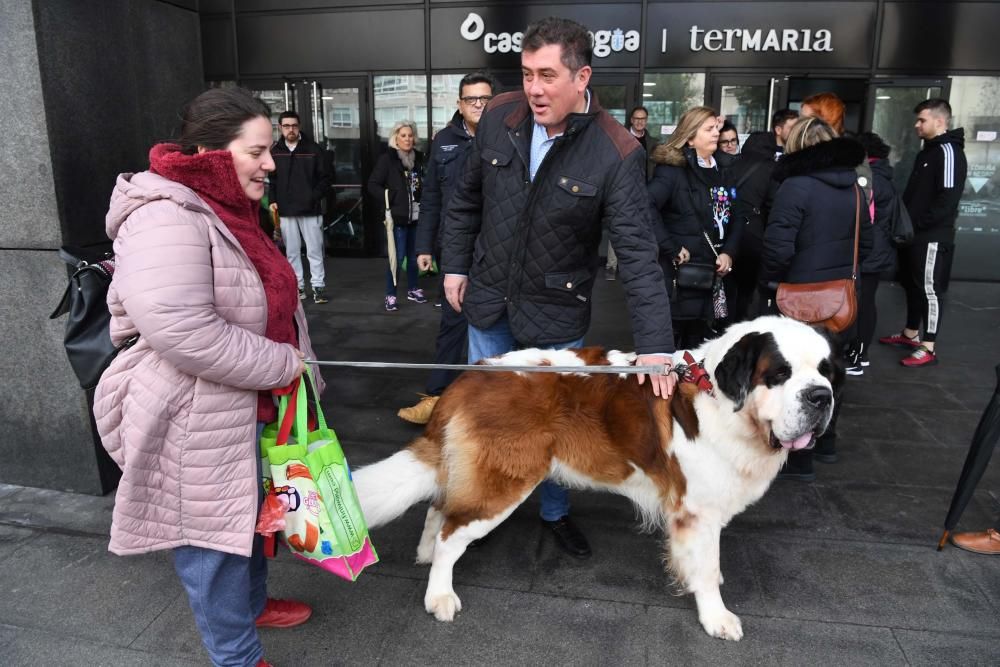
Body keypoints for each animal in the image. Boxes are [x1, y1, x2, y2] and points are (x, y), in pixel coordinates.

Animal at [352, 318, 836, 640]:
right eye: (779, 374)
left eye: (826, 371)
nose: (821, 397)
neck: (717, 396)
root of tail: (469, 378)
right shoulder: (697, 510)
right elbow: (706, 562)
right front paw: (716, 616)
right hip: (505, 481)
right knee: (451, 533)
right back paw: (439, 595)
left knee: (439, 507)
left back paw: (424, 555)